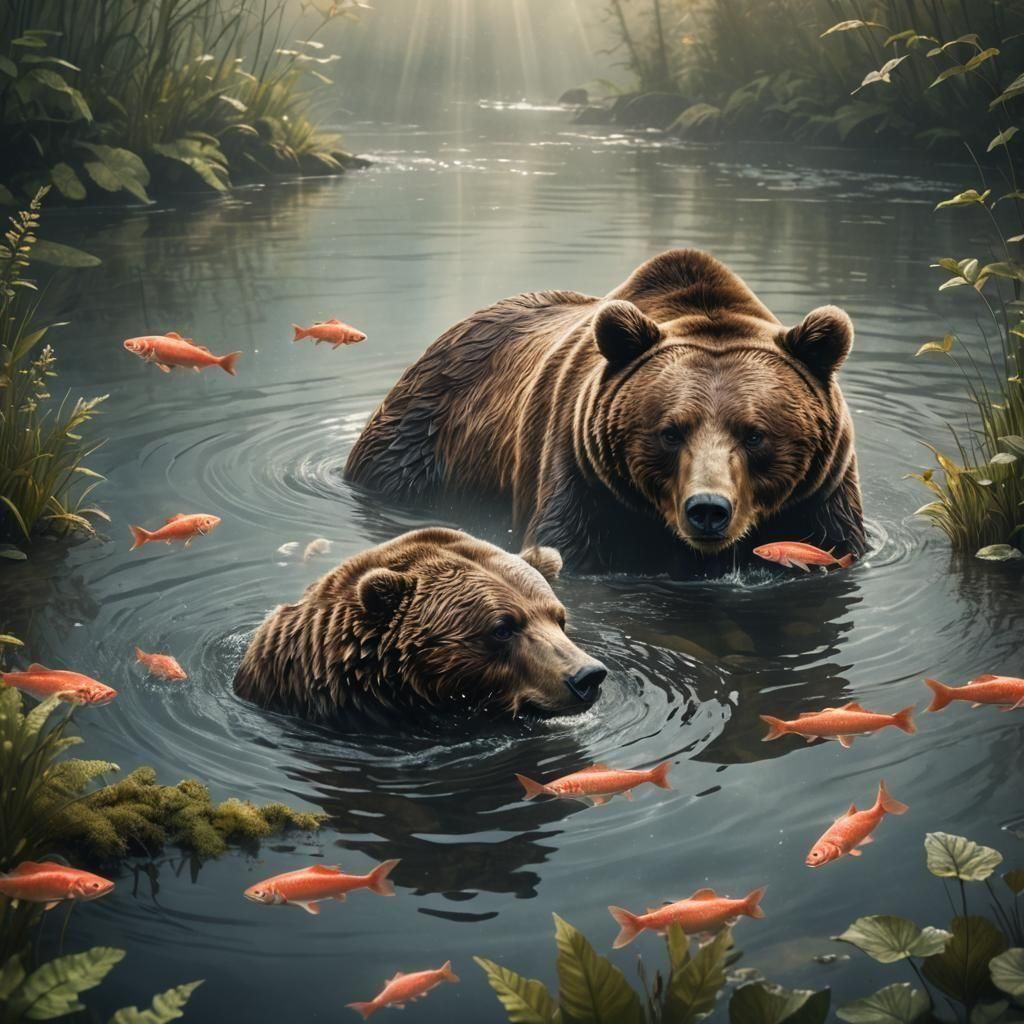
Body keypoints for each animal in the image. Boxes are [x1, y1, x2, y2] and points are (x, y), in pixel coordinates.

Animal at [345, 249, 865, 575]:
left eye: (755, 434)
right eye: (671, 432)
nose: (708, 510)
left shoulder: (821, 496)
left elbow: (837, 543)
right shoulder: (583, 482)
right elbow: (568, 549)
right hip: (419, 440)